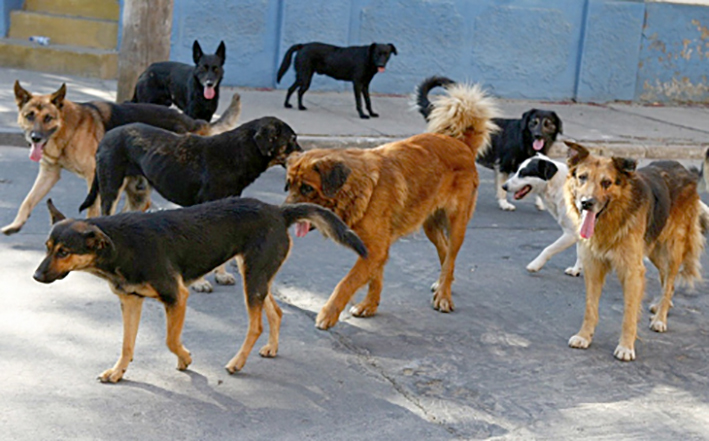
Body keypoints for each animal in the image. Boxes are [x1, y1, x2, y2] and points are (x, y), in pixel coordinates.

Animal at [1, 81, 242, 235]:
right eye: (29, 116)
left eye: (48, 118)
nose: (35, 138)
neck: (67, 128)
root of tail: (193, 122)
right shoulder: (49, 173)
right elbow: (28, 200)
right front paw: (15, 225)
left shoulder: (93, 177)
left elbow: (93, 209)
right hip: (134, 183)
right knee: (137, 207)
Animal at [33, 197, 366, 382]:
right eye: (48, 247)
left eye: (64, 252)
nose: (35, 276)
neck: (120, 246)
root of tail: (277, 210)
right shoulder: (130, 301)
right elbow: (127, 345)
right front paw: (118, 372)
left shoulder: (176, 296)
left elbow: (170, 340)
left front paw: (185, 359)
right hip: (257, 275)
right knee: (277, 311)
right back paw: (271, 347)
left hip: (254, 278)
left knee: (256, 324)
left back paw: (237, 363)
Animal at [284, 83, 498, 330]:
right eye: (288, 185)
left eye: (307, 188)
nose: (285, 211)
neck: (358, 187)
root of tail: (461, 144)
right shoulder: (374, 248)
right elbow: (374, 279)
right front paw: (369, 305)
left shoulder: (375, 248)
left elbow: (347, 282)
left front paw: (328, 313)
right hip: (430, 225)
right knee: (445, 253)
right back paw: (443, 283)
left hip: (457, 224)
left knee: (451, 255)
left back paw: (444, 295)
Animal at [418, 76, 560, 211]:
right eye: (533, 123)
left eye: (547, 124)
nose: (538, 135)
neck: (524, 139)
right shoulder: (503, 166)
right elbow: (503, 189)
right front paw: (504, 204)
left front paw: (540, 203)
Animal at [560, 141, 704, 360]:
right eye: (582, 177)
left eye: (607, 182)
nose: (586, 203)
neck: (613, 216)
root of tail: (684, 170)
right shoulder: (593, 266)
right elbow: (590, 308)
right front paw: (584, 336)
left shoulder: (632, 271)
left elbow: (629, 314)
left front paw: (626, 346)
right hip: (654, 252)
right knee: (666, 281)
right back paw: (661, 305)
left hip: (672, 250)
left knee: (670, 282)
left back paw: (660, 318)